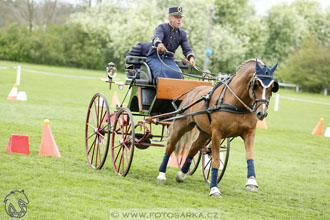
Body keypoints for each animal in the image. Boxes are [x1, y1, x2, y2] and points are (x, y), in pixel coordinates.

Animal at [157, 58, 278, 198]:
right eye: (256, 84)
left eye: (272, 87)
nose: (261, 113)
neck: (236, 103)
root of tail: (193, 90)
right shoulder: (217, 133)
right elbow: (215, 160)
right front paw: (214, 189)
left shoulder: (249, 133)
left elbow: (250, 156)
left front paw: (252, 183)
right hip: (181, 125)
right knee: (170, 145)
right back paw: (161, 175)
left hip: (205, 133)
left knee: (193, 148)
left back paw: (181, 175)